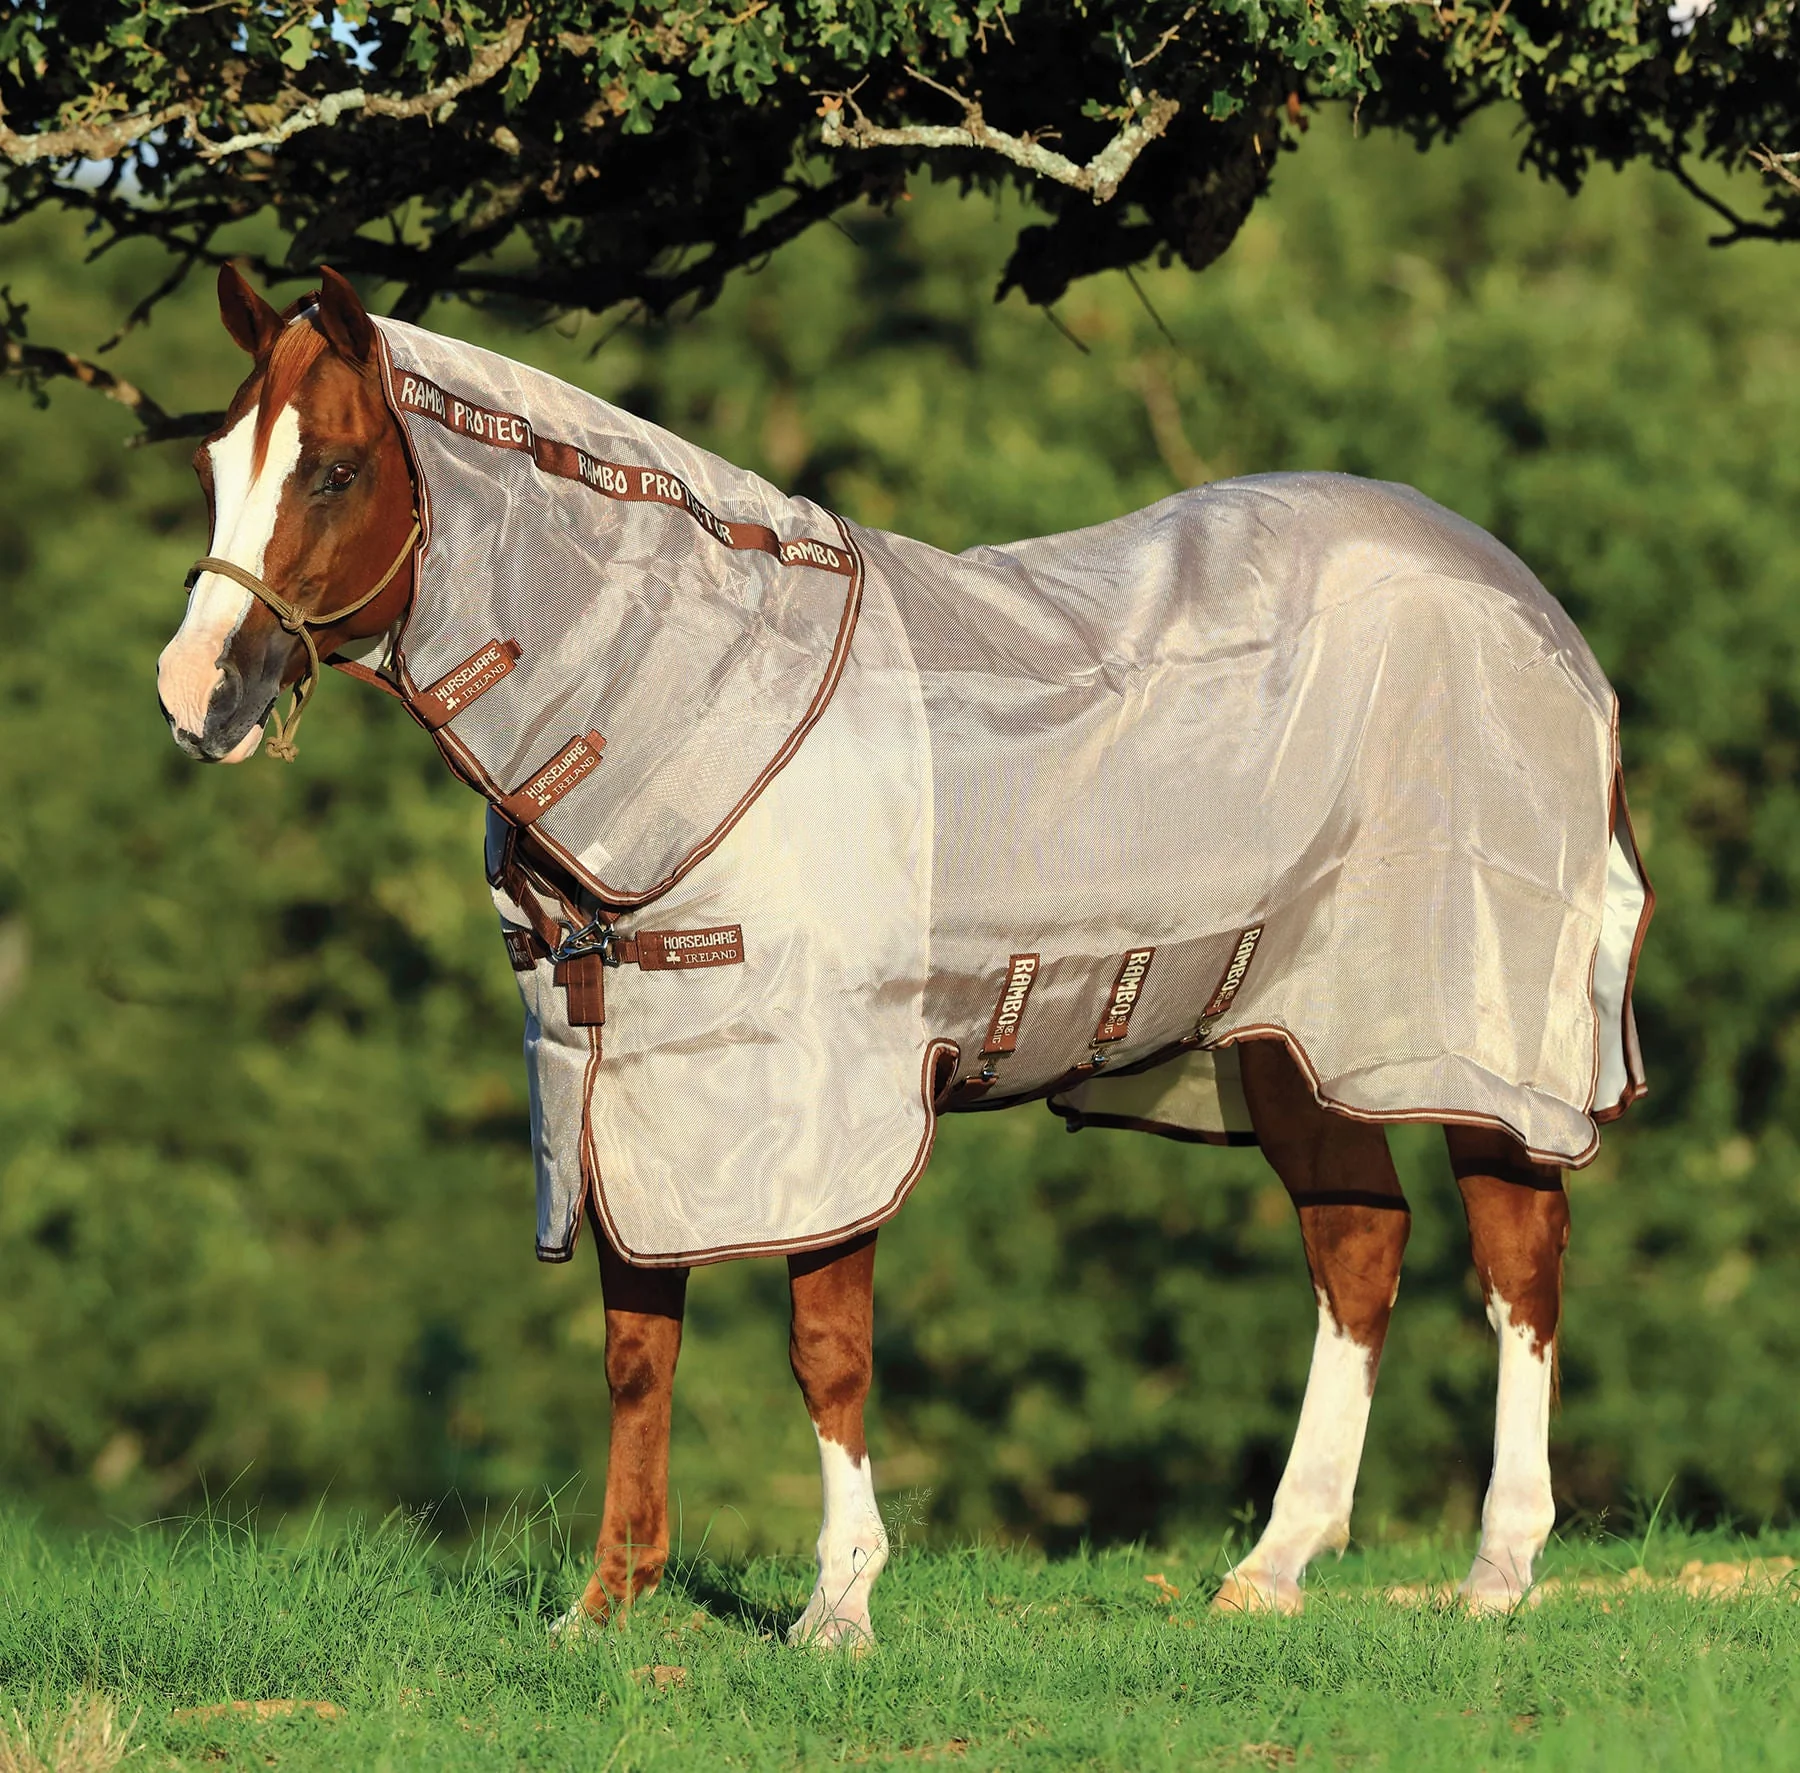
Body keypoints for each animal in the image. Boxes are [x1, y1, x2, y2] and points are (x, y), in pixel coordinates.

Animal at [155, 263, 1650, 1642]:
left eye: (337, 468)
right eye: (217, 462)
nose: (194, 693)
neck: (691, 705)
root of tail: (1536, 613)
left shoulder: (829, 1096)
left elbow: (826, 1351)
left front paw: (838, 1606)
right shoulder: (622, 1091)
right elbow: (637, 1352)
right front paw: (609, 1606)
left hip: (1472, 1028)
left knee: (1519, 1253)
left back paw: (1500, 1571)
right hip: (1284, 1037)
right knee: (1357, 1246)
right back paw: (1270, 1568)